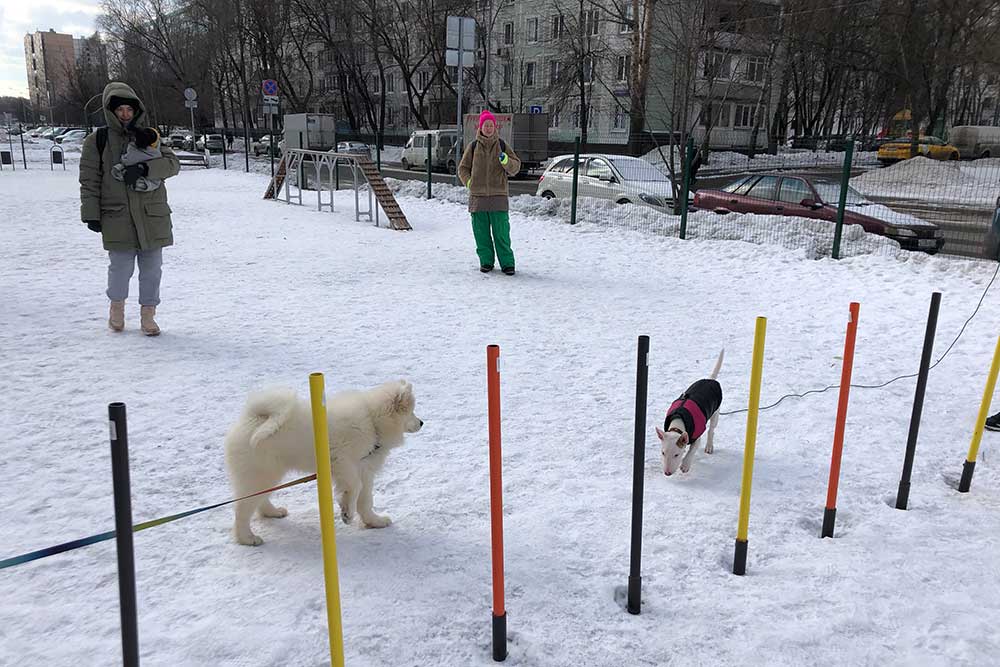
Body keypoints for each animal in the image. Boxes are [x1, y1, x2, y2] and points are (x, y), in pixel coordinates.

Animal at [224, 378, 422, 544]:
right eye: (411, 412)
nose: (422, 422)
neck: (373, 422)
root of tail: (253, 417)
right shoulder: (341, 460)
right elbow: (354, 486)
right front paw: (346, 512)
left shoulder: (365, 470)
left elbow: (365, 500)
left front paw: (374, 521)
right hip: (259, 473)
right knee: (242, 509)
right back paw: (247, 538)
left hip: (269, 473)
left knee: (260, 499)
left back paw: (273, 513)